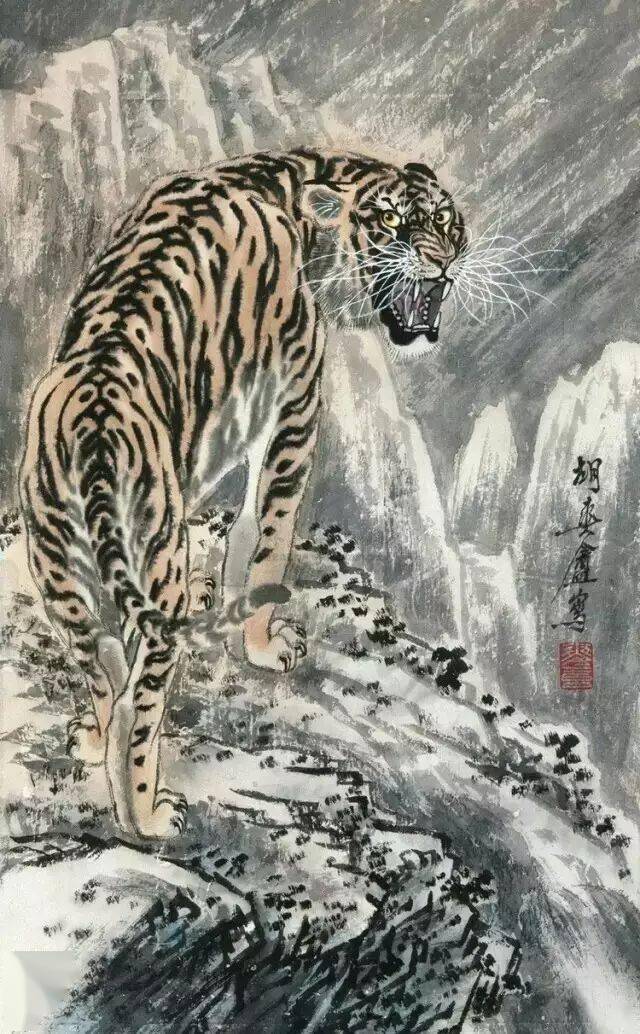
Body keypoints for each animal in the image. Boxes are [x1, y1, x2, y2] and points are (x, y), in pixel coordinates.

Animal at [19, 148, 467, 838]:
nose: (440, 259)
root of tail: (92, 422)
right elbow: (266, 541)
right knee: (137, 705)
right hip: (152, 567)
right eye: (390, 223)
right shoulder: (294, 417)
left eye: (445, 220)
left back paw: (93, 743)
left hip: (61, 575)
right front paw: (262, 645)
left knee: (105, 674)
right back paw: (148, 817)